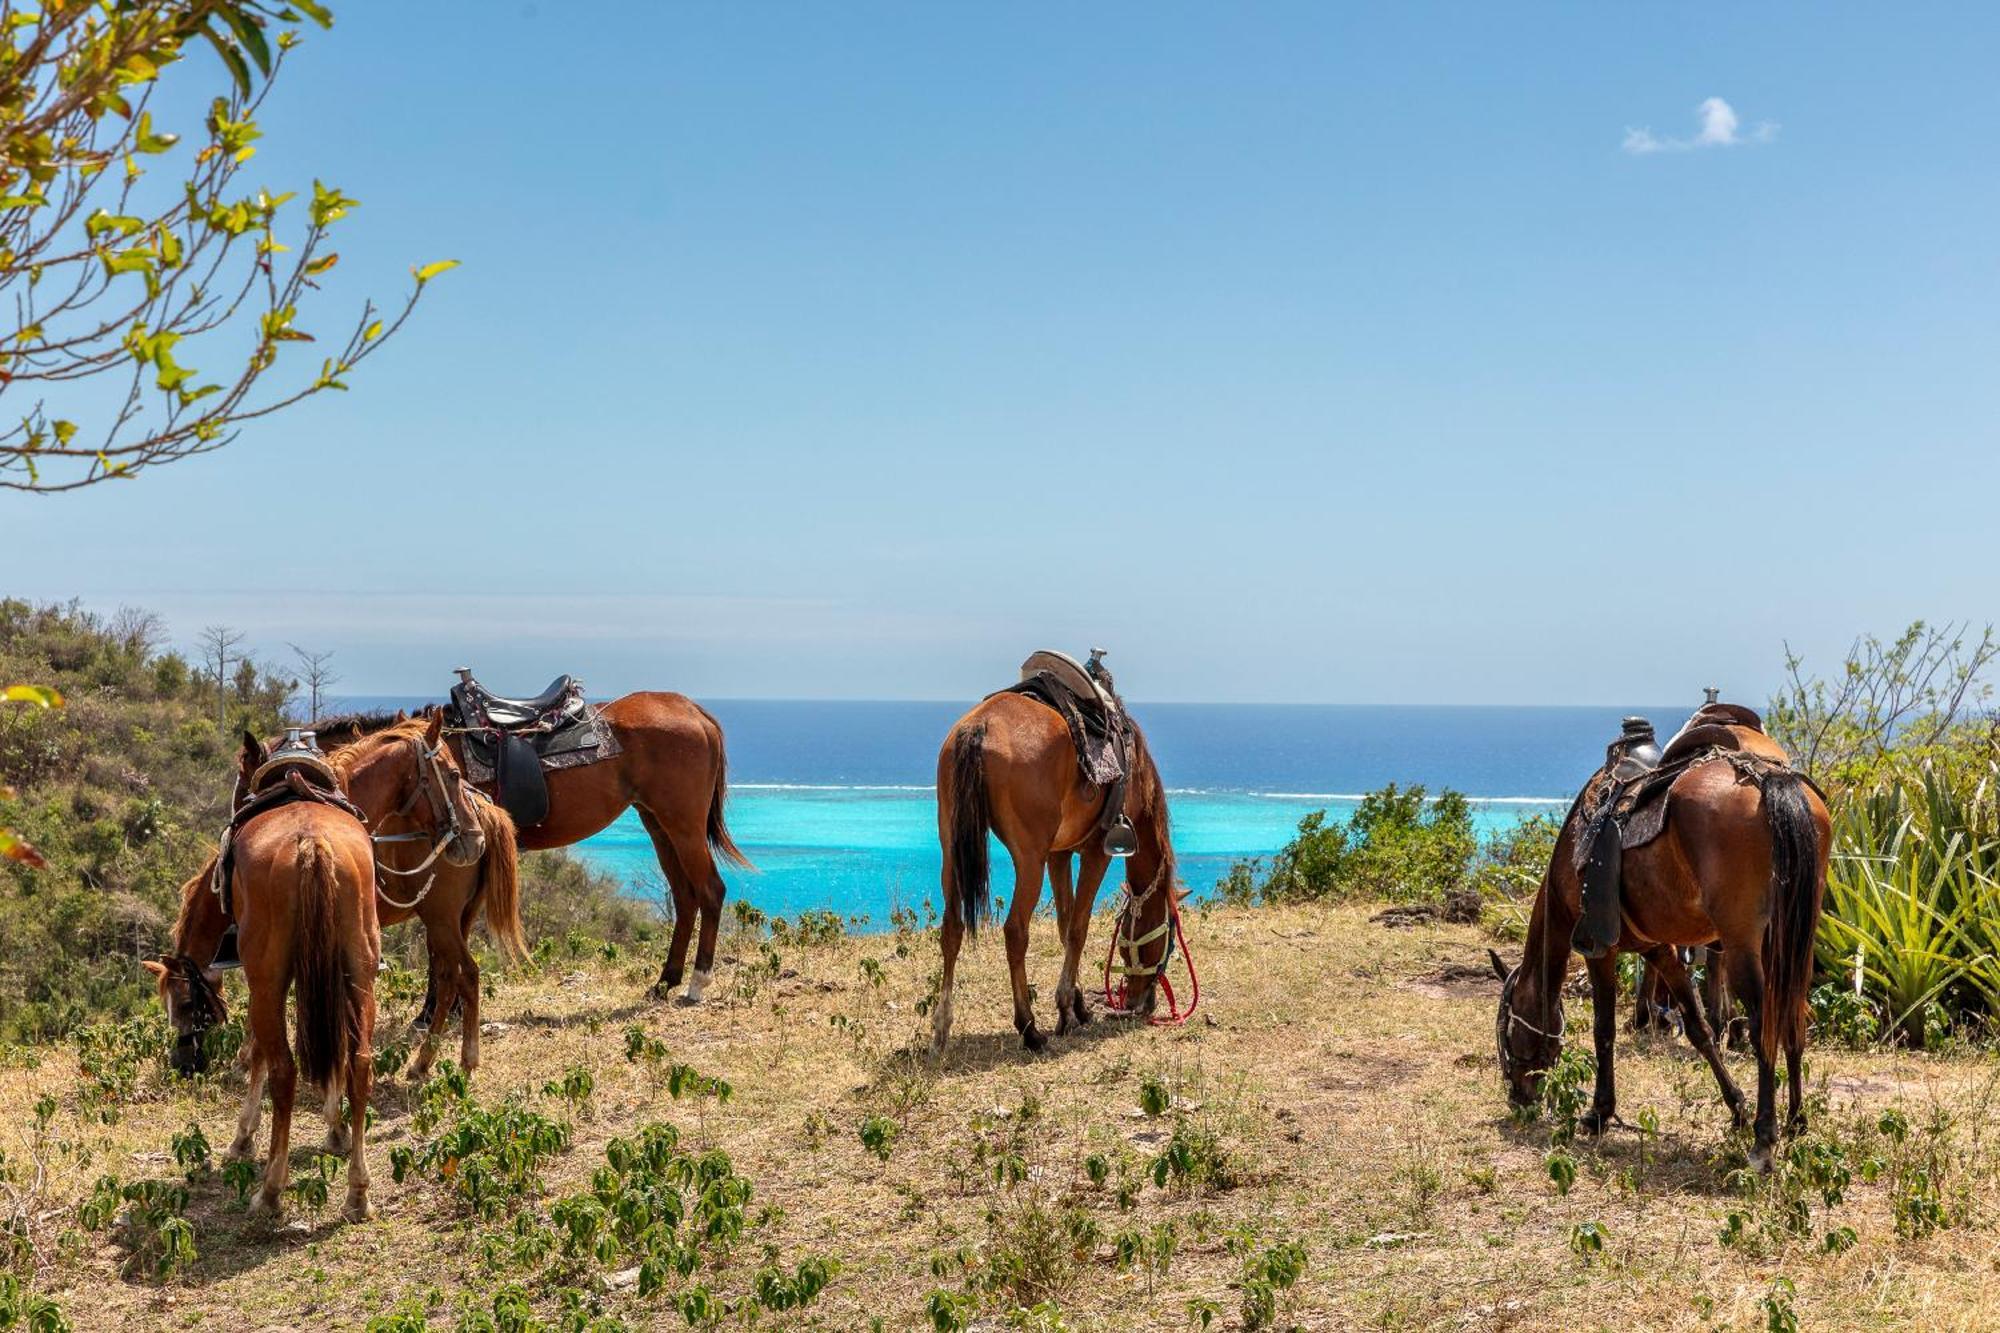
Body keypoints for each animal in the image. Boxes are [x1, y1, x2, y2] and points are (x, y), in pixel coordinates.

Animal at [150, 732, 380, 1216]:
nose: (183, 1064)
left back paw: (271, 1189)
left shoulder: (260, 984)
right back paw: (358, 1191)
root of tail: (311, 842)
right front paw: (335, 1130)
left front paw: (243, 1138)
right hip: (359, 974)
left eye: (184, 1002)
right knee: (359, 1063)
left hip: (269, 983)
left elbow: (255, 1053)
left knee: (283, 1070)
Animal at [320, 696, 752, 996]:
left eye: (458, 776)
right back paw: (666, 981)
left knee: (711, 891)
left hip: (684, 826)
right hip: (659, 825)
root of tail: (694, 711)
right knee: (685, 897)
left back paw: (696, 983)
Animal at [932, 688, 1176, 1056]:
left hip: (952, 848)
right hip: (1029, 859)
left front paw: (1078, 1005)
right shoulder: (1096, 852)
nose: (1141, 1003)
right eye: (1168, 937)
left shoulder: (1058, 855)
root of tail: (980, 726)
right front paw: (1065, 1009)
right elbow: (1078, 928)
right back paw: (1029, 1029)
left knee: (952, 929)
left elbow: (1064, 923)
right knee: (1015, 931)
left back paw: (942, 1028)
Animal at [1488, 716, 1832, 1160]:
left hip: (1742, 943)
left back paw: (1765, 1137)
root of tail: (1765, 776)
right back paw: (1796, 1121)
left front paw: (1599, 1113)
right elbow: (1699, 1028)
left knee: (1764, 1024)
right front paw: (1736, 1108)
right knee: (1793, 1015)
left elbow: (1603, 1029)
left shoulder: (1599, 950)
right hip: (1793, 939)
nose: (1517, 1097)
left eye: (1505, 1029)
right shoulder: (1659, 949)